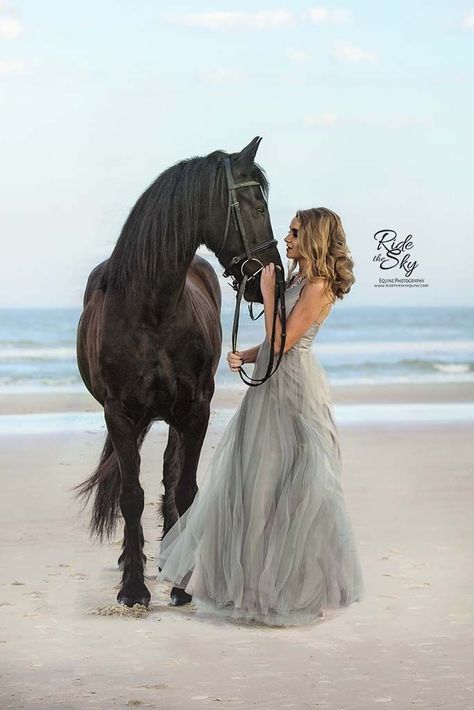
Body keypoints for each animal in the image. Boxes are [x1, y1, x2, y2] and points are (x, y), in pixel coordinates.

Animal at [72, 138, 284, 608]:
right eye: (257, 204)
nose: (275, 277)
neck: (151, 311)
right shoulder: (119, 414)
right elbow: (131, 495)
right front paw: (133, 588)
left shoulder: (194, 410)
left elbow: (184, 490)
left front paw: (182, 585)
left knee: (171, 476)